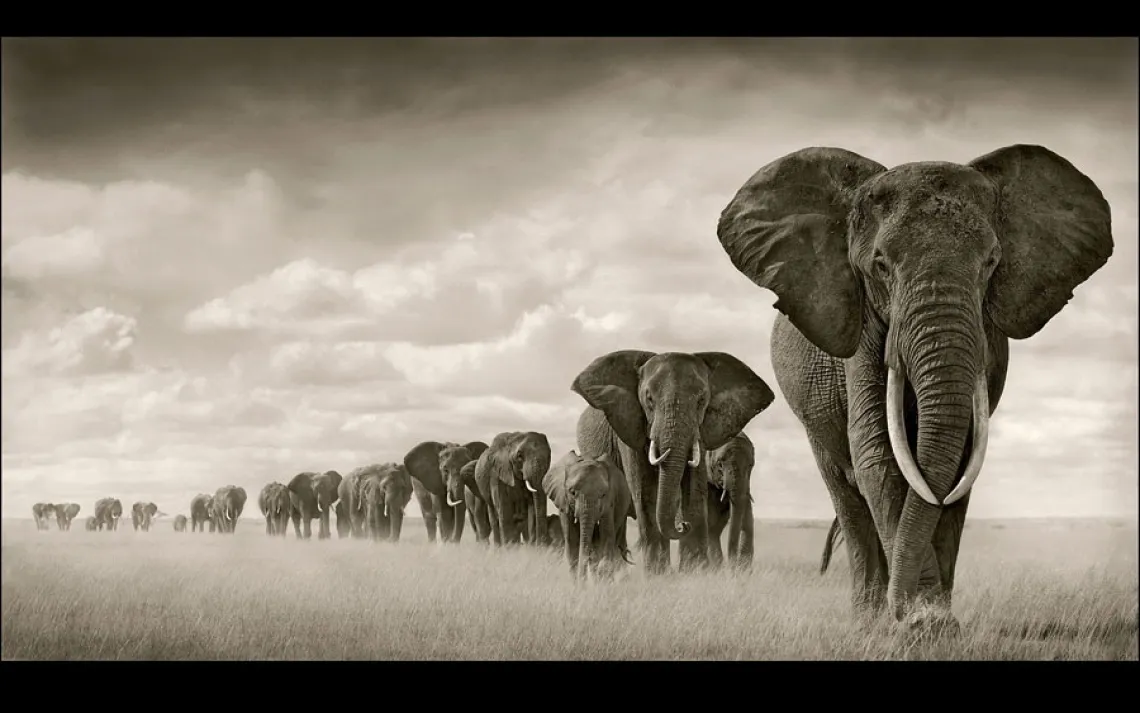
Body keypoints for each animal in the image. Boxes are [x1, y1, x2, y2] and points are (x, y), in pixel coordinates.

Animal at [543, 450, 635, 581]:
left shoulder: (609, 502)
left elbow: (606, 537)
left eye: (603, 494)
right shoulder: (563, 501)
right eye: (572, 492)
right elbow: (572, 542)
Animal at [705, 433, 756, 571]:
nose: (732, 567)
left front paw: (742, 572)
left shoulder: (746, 486)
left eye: (751, 465)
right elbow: (710, 525)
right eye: (719, 464)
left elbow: (748, 523)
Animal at [715, 144, 1114, 629]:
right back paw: (868, 619)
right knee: (846, 493)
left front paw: (933, 621)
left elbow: (960, 461)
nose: (906, 612)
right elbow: (878, 455)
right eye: (881, 265)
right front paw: (920, 625)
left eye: (991, 263)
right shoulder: (863, 326)